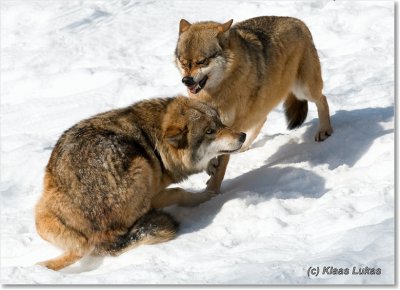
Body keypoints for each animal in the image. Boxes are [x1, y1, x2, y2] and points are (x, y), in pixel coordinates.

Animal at [176, 15, 334, 193]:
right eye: (183, 63)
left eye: (202, 61)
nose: (186, 80)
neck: (217, 91)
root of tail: (299, 22)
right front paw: (211, 168)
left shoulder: (232, 125)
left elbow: (221, 166)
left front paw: (212, 192)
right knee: (261, 120)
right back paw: (243, 146)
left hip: (303, 90)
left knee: (323, 99)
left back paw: (325, 130)